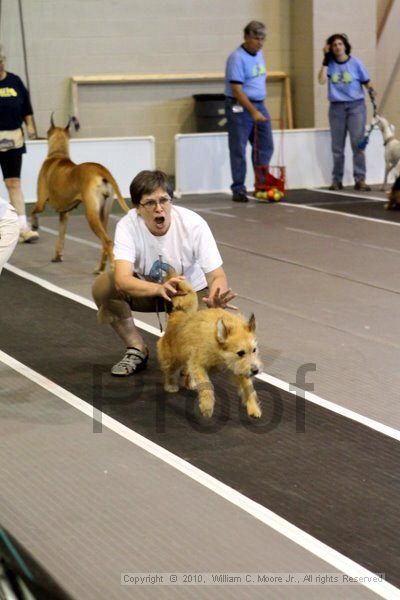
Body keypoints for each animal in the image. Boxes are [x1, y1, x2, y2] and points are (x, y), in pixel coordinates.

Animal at [32, 115, 131, 274]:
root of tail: (100, 170)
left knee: (107, 240)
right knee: (105, 241)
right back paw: (100, 267)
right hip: (103, 213)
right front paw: (57, 255)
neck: (57, 155)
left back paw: (111, 267)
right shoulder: (64, 213)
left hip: (91, 214)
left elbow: (33, 212)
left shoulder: (41, 201)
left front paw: (34, 225)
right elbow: (61, 235)